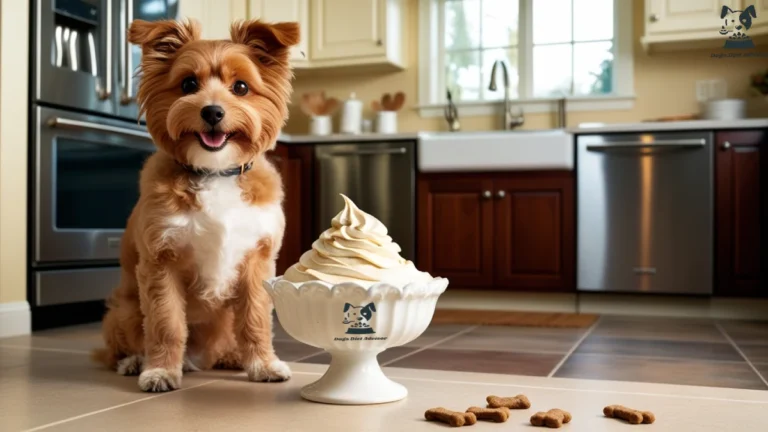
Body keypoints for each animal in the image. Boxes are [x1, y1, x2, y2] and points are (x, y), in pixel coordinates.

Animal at [92, 18, 300, 394]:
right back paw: (135, 361)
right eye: (188, 84)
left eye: (241, 87)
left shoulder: (257, 262)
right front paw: (160, 370)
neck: (215, 171)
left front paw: (263, 364)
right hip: (122, 311)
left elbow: (255, 320)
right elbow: (166, 325)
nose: (213, 111)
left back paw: (231, 357)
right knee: (118, 347)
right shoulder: (161, 264)